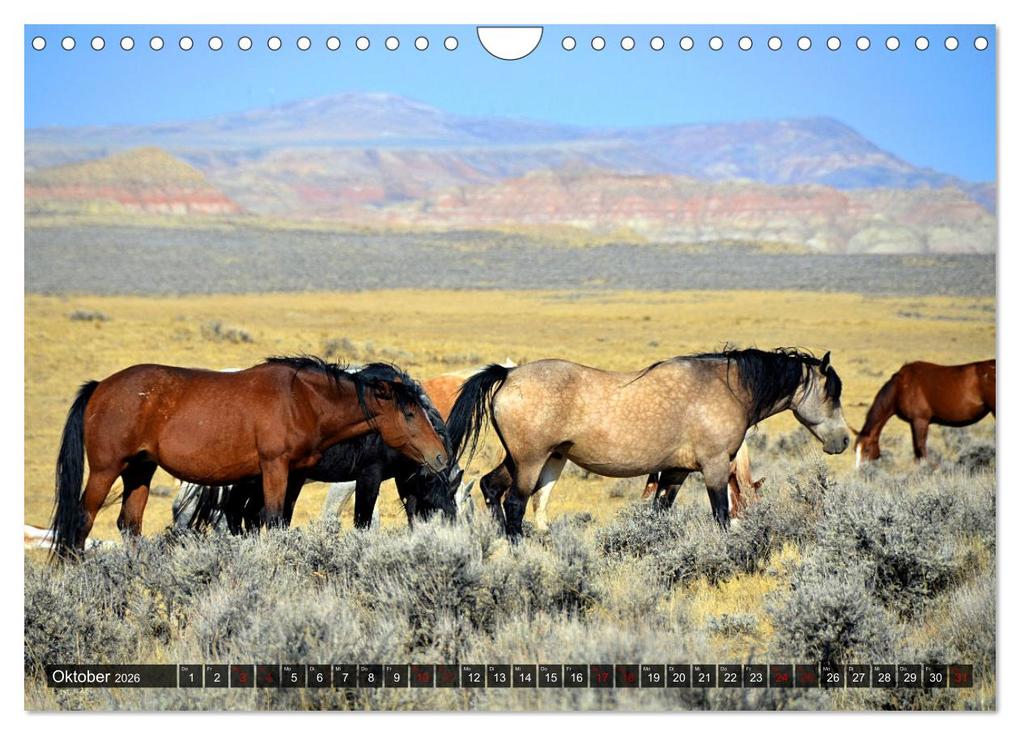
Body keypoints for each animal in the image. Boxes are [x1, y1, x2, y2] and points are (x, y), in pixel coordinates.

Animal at [50, 356, 449, 557]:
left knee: (129, 525)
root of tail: (100, 386)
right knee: (81, 521)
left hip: (139, 471)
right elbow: (270, 520)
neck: (301, 400)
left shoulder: (292, 475)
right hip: (106, 470)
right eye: (409, 413)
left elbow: (272, 521)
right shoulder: (274, 468)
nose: (441, 457)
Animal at [448, 348, 849, 539]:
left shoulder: (675, 472)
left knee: (491, 487)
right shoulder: (715, 467)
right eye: (832, 392)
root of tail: (508, 374)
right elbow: (722, 514)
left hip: (525, 460)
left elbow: (659, 513)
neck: (726, 387)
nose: (844, 440)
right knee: (515, 503)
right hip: (531, 461)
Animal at [853, 359, 995, 468]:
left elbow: (920, 448)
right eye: (855, 449)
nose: (860, 471)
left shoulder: (920, 421)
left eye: (867, 449)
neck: (901, 387)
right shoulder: (913, 423)